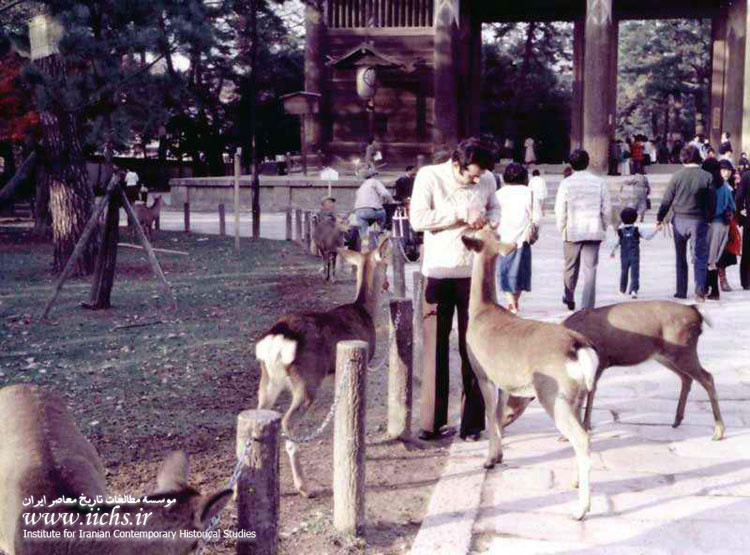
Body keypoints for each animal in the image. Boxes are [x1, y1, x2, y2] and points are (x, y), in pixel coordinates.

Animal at [254, 237, 390, 498]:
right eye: (386, 264)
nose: (388, 284)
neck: (365, 313)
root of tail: (277, 338)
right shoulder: (363, 362)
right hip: (307, 382)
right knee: (287, 422)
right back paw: (304, 487)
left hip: (268, 380)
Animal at [462, 227, 604, 520]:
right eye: (491, 231)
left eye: (475, 234)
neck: (481, 311)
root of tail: (580, 348)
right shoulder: (505, 382)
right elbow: (498, 415)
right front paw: (499, 456)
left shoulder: (483, 374)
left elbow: (488, 413)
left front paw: (489, 460)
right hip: (577, 397)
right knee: (585, 432)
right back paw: (575, 483)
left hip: (553, 395)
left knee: (581, 438)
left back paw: (580, 509)